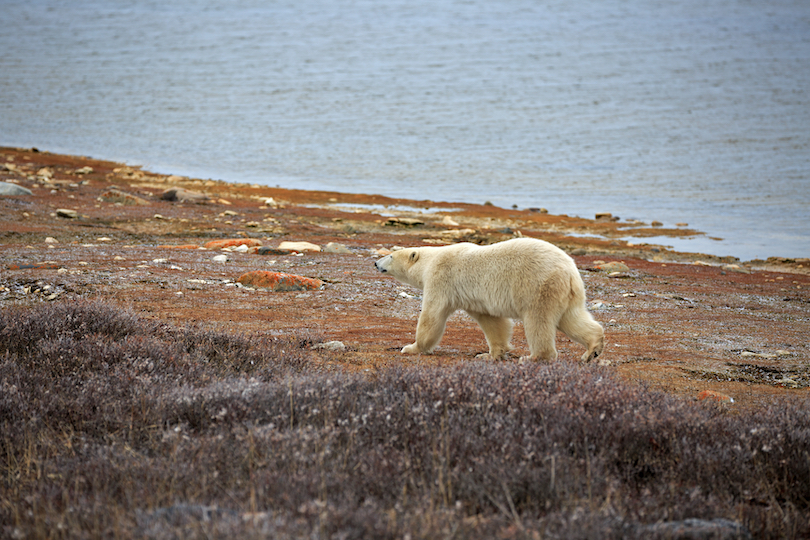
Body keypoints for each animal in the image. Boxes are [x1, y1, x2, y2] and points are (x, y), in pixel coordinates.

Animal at [376, 237, 604, 360]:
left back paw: (534, 357)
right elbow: (492, 322)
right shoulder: (474, 297)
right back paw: (592, 350)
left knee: (538, 321)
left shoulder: (441, 280)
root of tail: (570, 270)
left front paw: (411, 347)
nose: (376, 263)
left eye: (391, 256)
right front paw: (489, 354)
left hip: (538, 286)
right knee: (571, 319)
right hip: (566, 293)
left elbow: (431, 317)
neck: (431, 260)